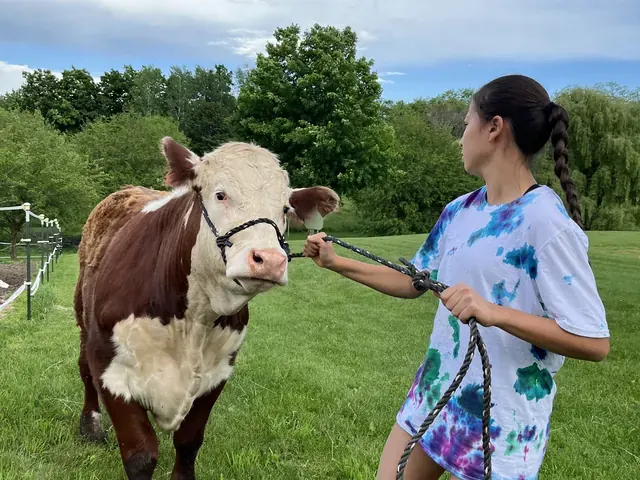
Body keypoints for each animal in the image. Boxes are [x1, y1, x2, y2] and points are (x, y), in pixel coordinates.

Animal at [73, 137, 339, 479]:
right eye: (220, 194)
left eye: (284, 209)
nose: (269, 260)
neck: (193, 319)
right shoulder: (110, 367)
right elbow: (141, 454)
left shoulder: (217, 373)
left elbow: (188, 443)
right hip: (82, 315)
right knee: (83, 369)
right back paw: (90, 424)